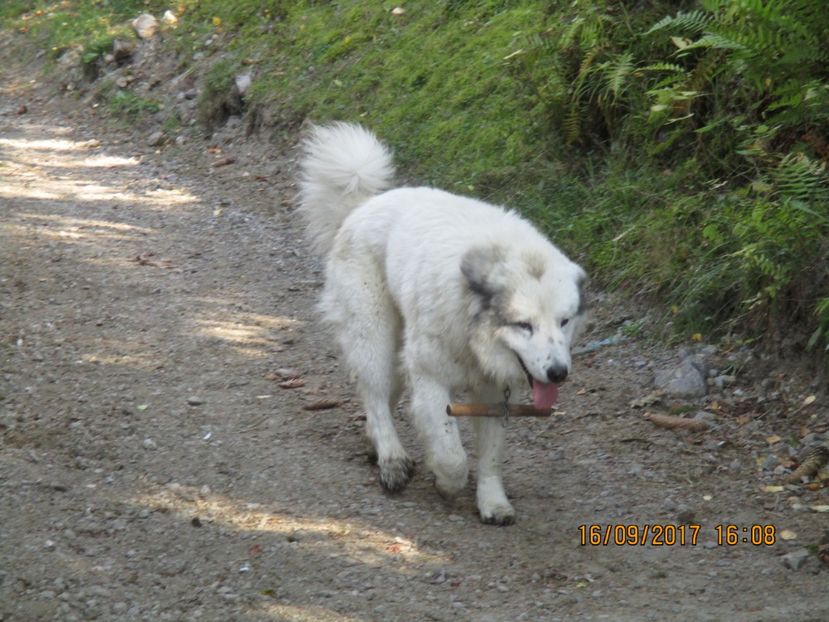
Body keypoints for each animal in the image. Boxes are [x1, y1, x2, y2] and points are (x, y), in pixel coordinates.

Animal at [298, 123, 584, 528]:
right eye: (523, 325)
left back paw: (376, 444)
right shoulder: (431, 380)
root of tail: (363, 206)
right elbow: (453, 455)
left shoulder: (494, 394)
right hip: (375, 337)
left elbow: (491, 457)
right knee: (375, 395)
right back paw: (391, 459)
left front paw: (493, 502)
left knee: (383, 397)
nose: (559, 373)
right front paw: (445, 482)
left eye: (564, 321)